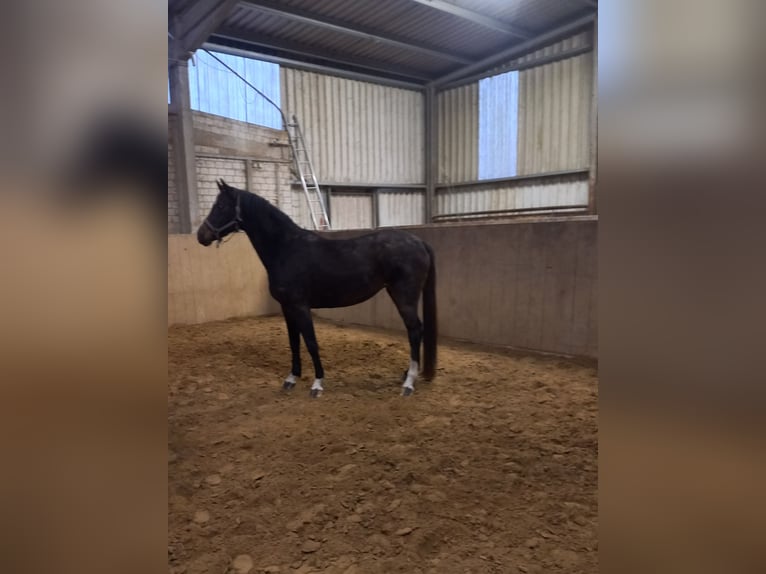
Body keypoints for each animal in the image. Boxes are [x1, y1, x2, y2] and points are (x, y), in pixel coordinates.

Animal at [196, 179, 437, 397]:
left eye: (221, 206)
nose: (201, 236)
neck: (286, 248)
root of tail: (419, 242)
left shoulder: (301, 306)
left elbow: (311, 342)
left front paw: (317, 384)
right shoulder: (287, 308)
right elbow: (294, 342)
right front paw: (291, 379)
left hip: (403, 296)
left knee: (415, 331)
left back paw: (408, 383)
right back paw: (407, 374)